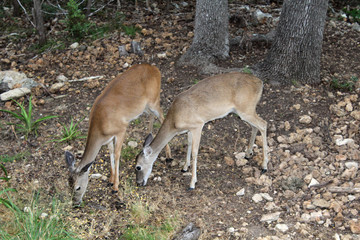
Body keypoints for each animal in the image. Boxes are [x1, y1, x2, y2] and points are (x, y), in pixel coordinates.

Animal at [65, 64, 172, 206]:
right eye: (69, 185)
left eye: (78, 187)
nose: (75, 203)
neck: (100, 125)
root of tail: (155, 68)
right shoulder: (108, 138)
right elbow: (110, 152)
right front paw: (110, 180)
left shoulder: (121, 129)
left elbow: (117, 154)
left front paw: (115, 186)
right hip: (145, 107)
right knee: (152, 117)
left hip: (154, 100)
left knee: (162, 117)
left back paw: (169, 155)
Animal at [135, 71, 268, 189]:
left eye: (138, 167)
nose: (138, 183)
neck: (174, 121)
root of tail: (260, 83)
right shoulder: (189, 129)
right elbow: (188, 144)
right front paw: (185, 167)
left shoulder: (198, 125)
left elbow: (195, 152)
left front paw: (192, 183)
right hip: (245, 111)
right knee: (255, 126)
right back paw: (248, 153)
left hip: (246, 109)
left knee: (263, 124)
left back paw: (264, 166)